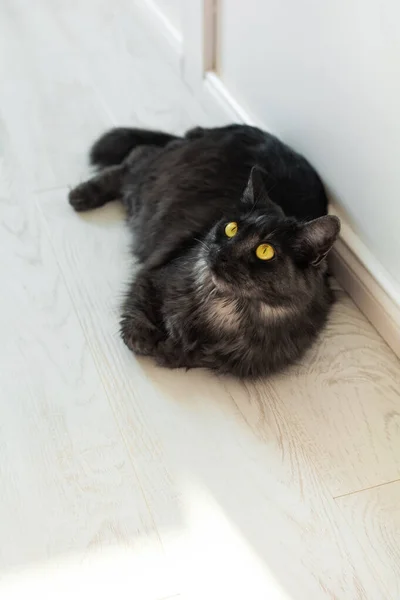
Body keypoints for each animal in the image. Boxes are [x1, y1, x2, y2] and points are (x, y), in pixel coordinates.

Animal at [69, 124, 340, 378]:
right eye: (231, 228)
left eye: (265, 251)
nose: (223, 252)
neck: (230, 306)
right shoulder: (155, 272)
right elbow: (138, 309)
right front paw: (145, 337)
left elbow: (196, 354)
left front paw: (170, 349)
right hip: (149, 184)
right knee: (136, 157)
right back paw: (81, 195)